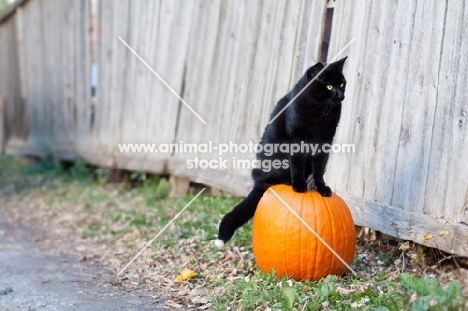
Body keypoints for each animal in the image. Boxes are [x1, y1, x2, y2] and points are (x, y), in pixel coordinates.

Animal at [217, 56, 348, 249]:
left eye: (342, 84)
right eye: (330, 86)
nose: (341, 95)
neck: (320, 112)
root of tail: (259, 180)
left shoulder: (324, 143)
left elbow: (320, 168)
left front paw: (321, 188)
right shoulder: (296, 141)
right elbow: (298, 164)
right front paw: (299, 186)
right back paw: (290, 182)